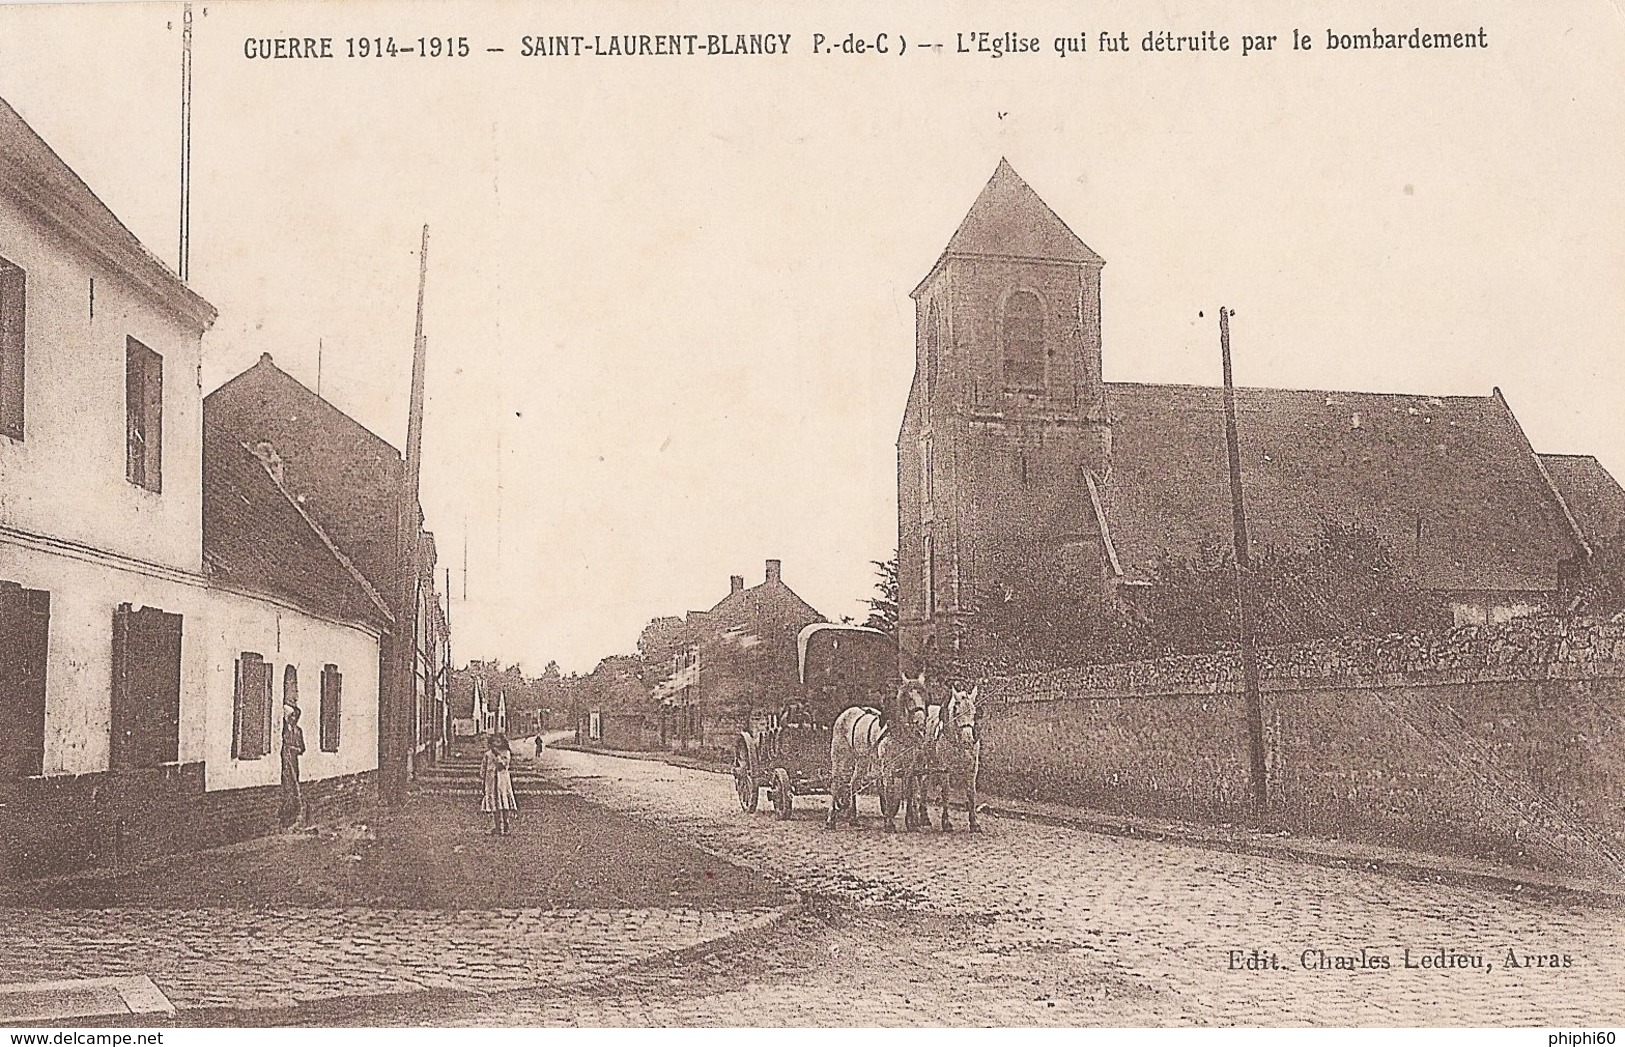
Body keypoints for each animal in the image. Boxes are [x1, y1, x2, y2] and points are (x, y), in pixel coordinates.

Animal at [825, 676, 929, 829]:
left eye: (923, 696)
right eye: (909, 697)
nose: (920, 723)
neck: (899, 733)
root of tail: (847, 711)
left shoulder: (910, 767)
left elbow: (909, 792)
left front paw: (910, 823)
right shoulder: (887, 766)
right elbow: (889, 791)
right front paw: (889, 823)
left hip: (862, 760)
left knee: (853, 782)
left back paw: (853, 818)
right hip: (840, 757)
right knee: (836, 784)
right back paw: (830, 820)